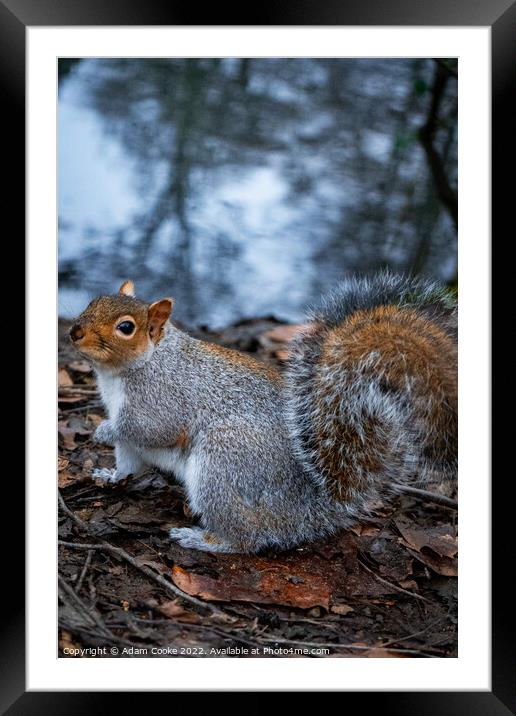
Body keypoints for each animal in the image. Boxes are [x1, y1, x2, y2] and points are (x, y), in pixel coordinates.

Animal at [67, 274, 456, 552]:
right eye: (93, 301)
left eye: (126, 327)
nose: (74, 331)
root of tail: (311, 508)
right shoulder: (129, 442)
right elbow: (129, 463)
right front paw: (109, 474)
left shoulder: (162, 399)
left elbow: (152, 430)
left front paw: (103, 431)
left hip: (225, 461)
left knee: (246, 540)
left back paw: (204, 540)